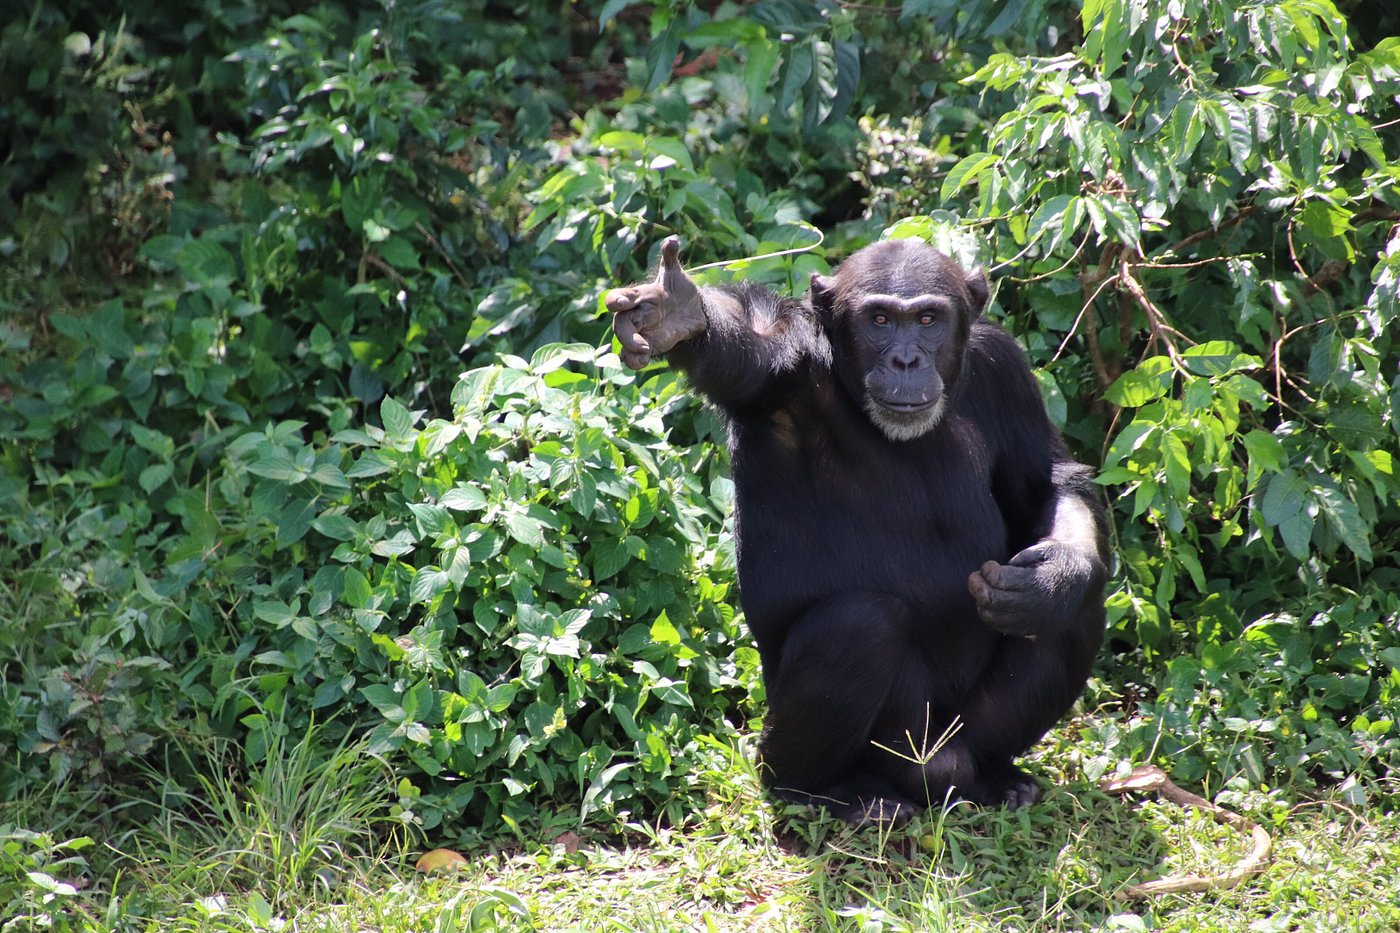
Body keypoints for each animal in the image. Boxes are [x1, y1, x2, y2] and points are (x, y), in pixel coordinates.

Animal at [607, 233, 1108, 823]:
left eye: (928, 319)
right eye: (880, 319)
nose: (906, 358)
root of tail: (944, 770)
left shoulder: (1005, 369)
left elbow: (1047, 483)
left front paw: (1053, 578)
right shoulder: (787, 372)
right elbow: (748, 354)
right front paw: (677, 313)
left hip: (966, 732)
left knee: (1078, 609)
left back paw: (998, 773)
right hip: (897, 745)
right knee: (860, 625)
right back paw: (827, 792)